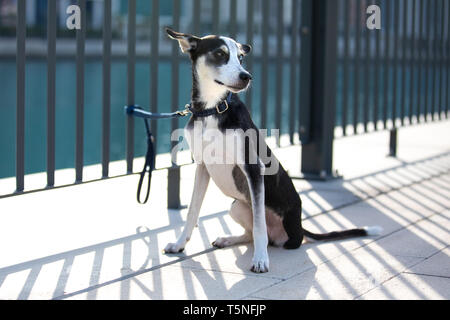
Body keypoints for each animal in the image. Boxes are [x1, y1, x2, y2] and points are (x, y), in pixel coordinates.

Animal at [163, 28, 382, 272]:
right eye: (220, 54)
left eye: (240, 58)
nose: (246, 76)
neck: (213, 109)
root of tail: (300, 227)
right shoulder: (202, 167)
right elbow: (192, 212)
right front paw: (180, 244)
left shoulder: (253, 168)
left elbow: (259, 225)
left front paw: (260, 259)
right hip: (236, 206)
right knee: (249, 233)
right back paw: (228, 239)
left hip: (283, 230)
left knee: (268, 235)